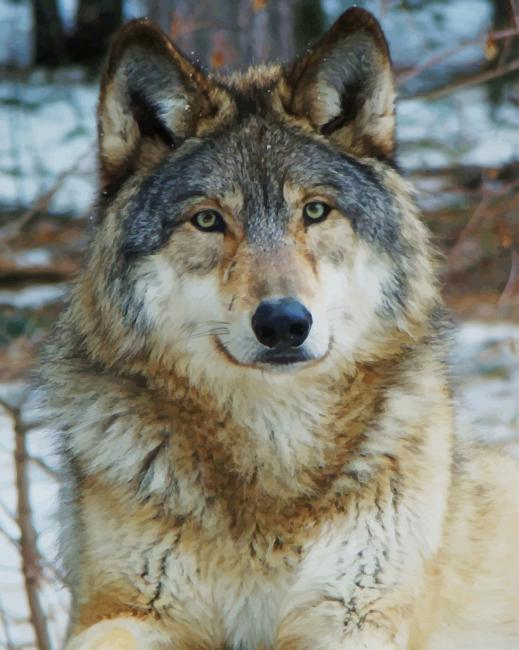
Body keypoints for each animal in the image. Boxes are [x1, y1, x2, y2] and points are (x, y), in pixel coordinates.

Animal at [41, 7, 519, 650]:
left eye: (314, 211)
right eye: (209, 220)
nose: (284, 323)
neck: (273, 445)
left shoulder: (356, 611)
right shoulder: (126, 607)